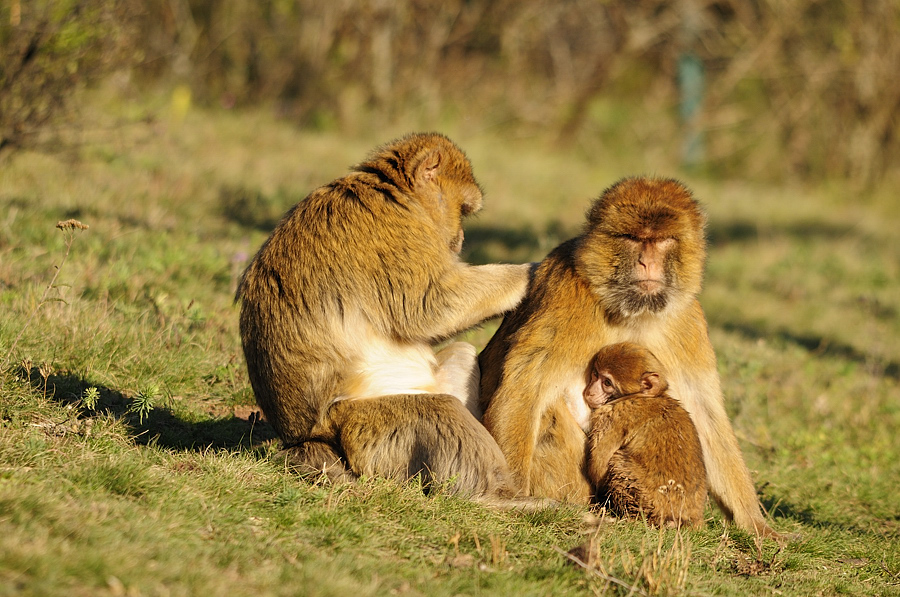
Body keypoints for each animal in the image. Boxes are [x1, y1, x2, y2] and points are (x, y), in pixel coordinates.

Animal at [584, 340, 712, 528]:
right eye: (595, 374)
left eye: (607, 382)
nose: (589, 392)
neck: (645, 396)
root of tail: (693, 519)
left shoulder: (616, 414)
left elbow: (598, 466)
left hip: (649, 503)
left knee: (617, 461)